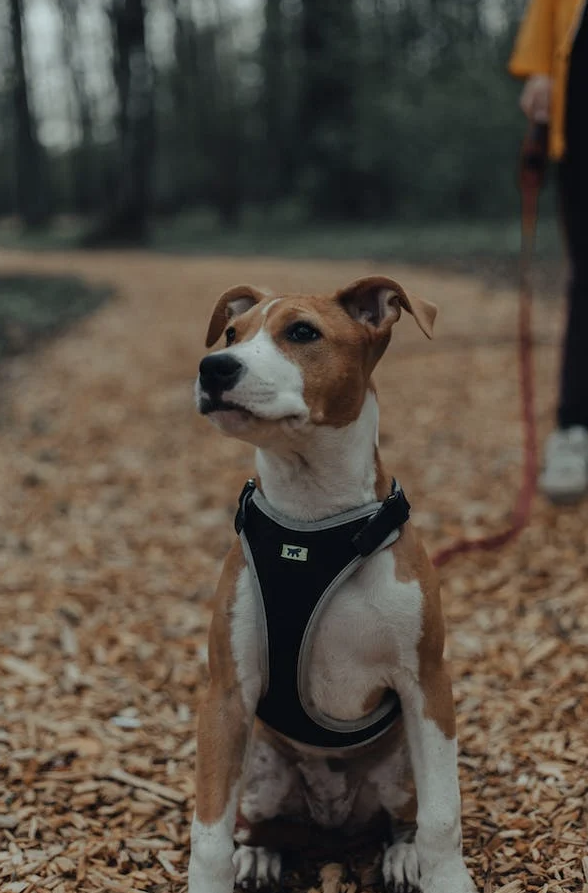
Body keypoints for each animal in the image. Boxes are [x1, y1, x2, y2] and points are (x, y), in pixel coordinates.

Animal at [191, 276, 476, 888]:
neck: (313, 517)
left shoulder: (427, 683)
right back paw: (259, 854)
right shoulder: (225, 696)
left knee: (406, 820)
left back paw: (402, 856)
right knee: (260, 824)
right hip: (260, 769)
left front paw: (447, 878)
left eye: (302, 332)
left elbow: (443, 816)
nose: (213, 367)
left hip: (401, 765)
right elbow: (208, 836)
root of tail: (332, 822)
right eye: (231, 334)